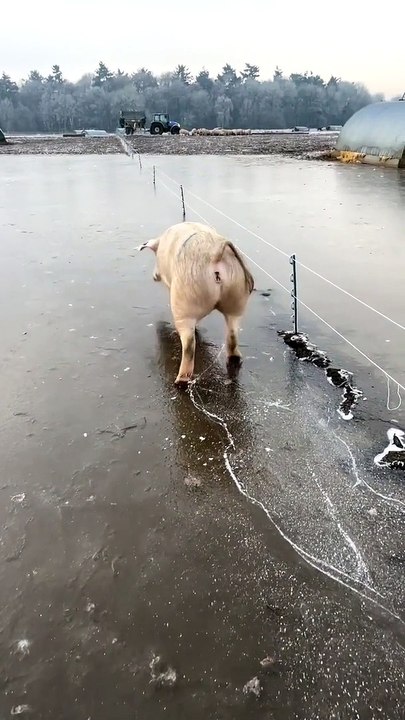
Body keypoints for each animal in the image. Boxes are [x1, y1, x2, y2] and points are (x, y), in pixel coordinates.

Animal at [139, 221, 254, 385]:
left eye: (155, 256)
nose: (154, 276)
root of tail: (216, 252)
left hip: (185, 302)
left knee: (188, 346)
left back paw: (180, 381)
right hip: (237, 298)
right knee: (233, 334)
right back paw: (234, 360)